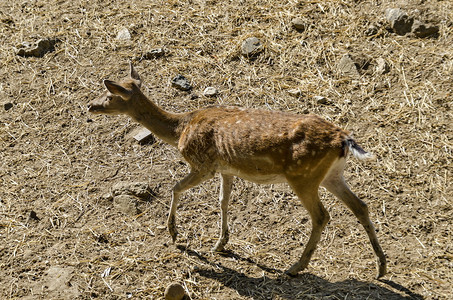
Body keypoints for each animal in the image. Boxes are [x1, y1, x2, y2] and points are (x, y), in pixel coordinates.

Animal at [87, 63, 384, 278]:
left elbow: (175, 187)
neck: (180, 129)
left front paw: (174, 233)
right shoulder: (225, 169)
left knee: (322, 216)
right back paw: (381, 267)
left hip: (303, 176)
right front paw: (221, 243)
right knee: (361, 206)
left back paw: (294, 268)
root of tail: (344, 140)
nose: (90, 105)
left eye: (111, 94)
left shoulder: (203, 164)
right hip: (331, 175)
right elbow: (223, 201)